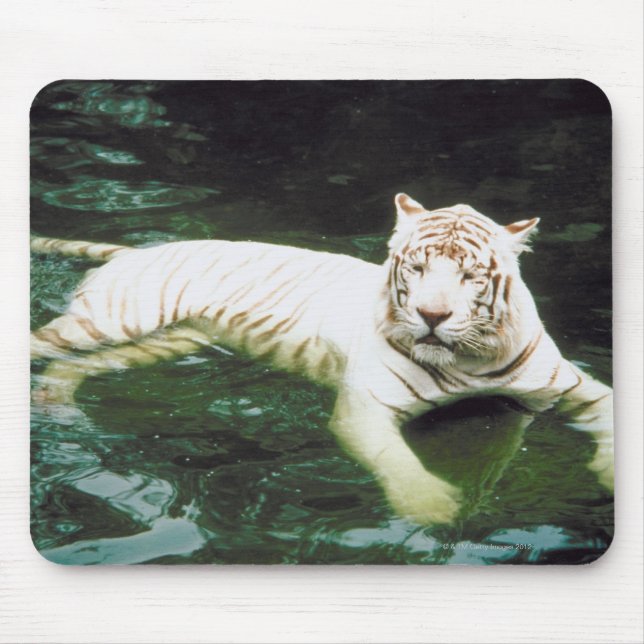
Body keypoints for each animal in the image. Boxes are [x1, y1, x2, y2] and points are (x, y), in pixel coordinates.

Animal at [30, 193, 614, 525]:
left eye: (470, 276)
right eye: (418, 268)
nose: (431, 315)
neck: (465, 360)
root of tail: (135, 251)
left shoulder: (571, 387)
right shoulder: (366, 409)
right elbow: (399, 462)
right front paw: (431, 508)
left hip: (168, 342)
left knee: (72, 368)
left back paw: (56, 403)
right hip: (110, 322)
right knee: (44, 344)